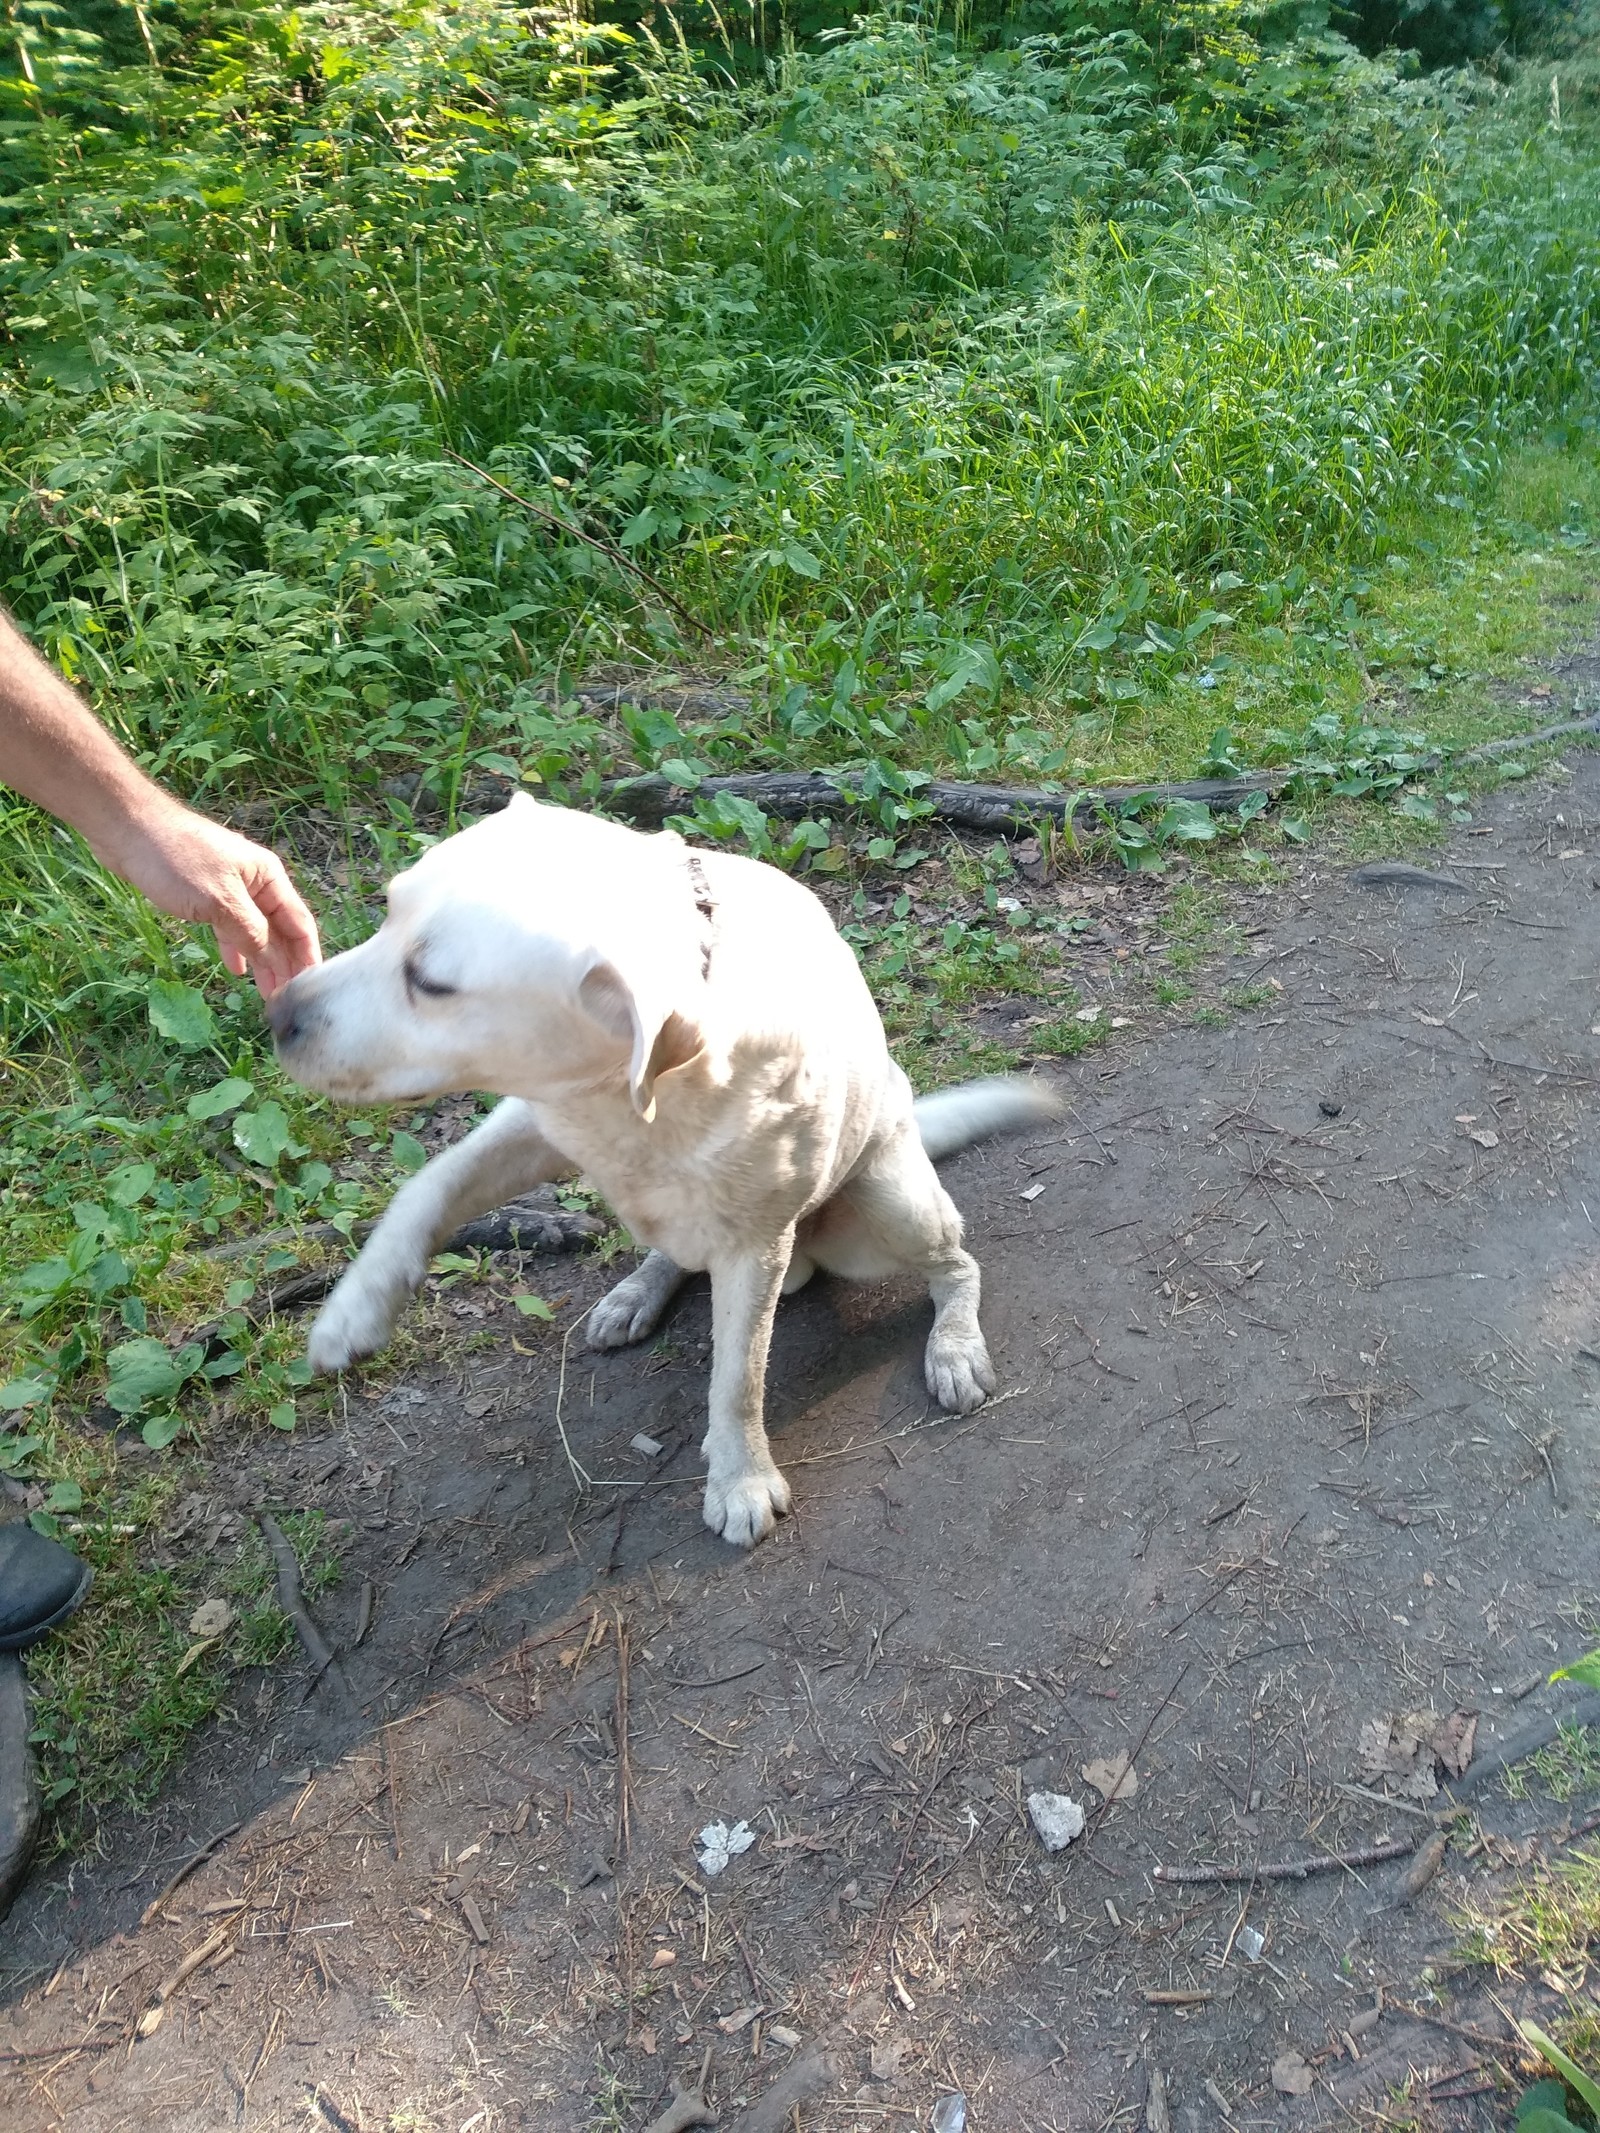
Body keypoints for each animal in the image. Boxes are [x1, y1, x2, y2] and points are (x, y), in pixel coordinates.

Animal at [269, 802, 1058, 1552]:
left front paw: (740, 1477)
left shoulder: (753, 1246)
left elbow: (737, 1377)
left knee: (957, 1265)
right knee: (669, 1249)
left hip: (890, 1203)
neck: (639, 1082)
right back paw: (636, 1291)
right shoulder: (531, 1121)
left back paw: (954, 1347)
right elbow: (427, 1185)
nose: (275, 1012)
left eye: (431, 983)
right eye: (386, 909)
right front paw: (354, 1311)